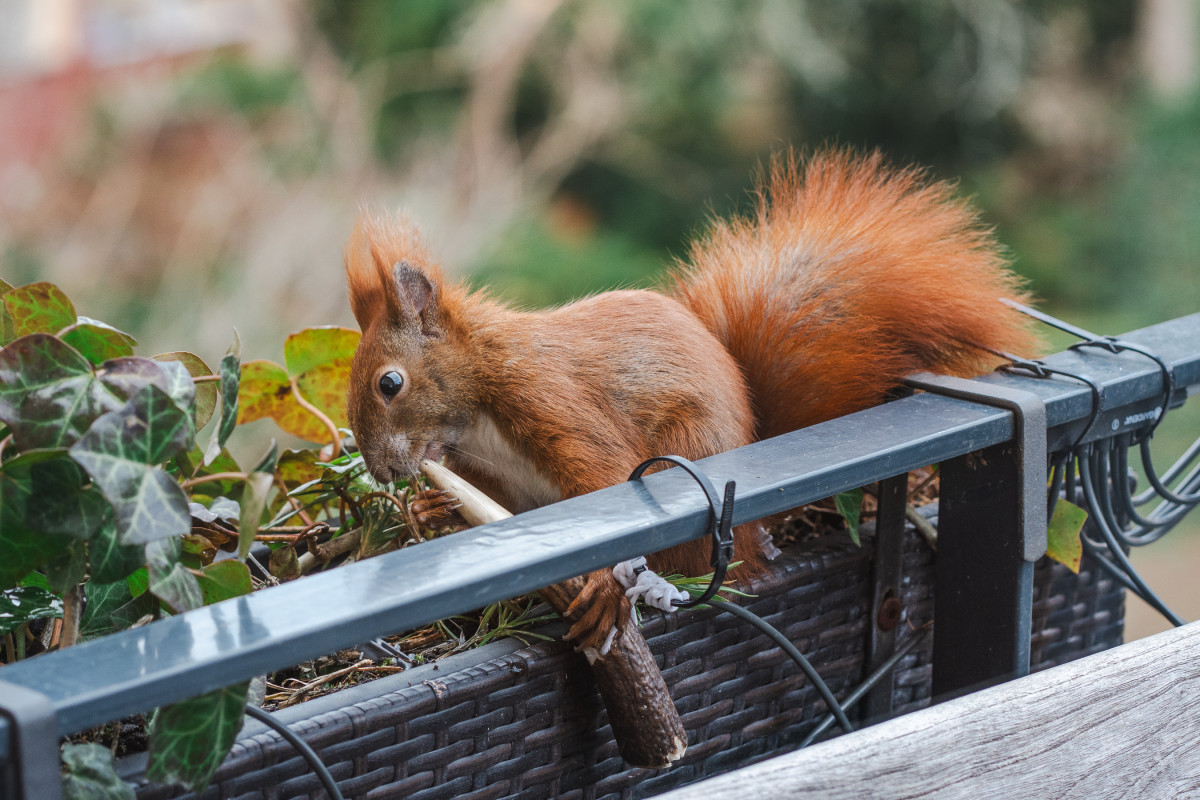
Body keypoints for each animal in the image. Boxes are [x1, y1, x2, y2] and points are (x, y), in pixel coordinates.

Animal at [343, 146, 1036, 652]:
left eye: (389, 383)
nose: (381, 470)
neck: (477, 410)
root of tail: (755, 534)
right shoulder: (495, 473)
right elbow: (513, 518)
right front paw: (431, 510)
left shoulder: (550, 399)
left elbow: (604, 484)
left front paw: (603, 581)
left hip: (688, 454)